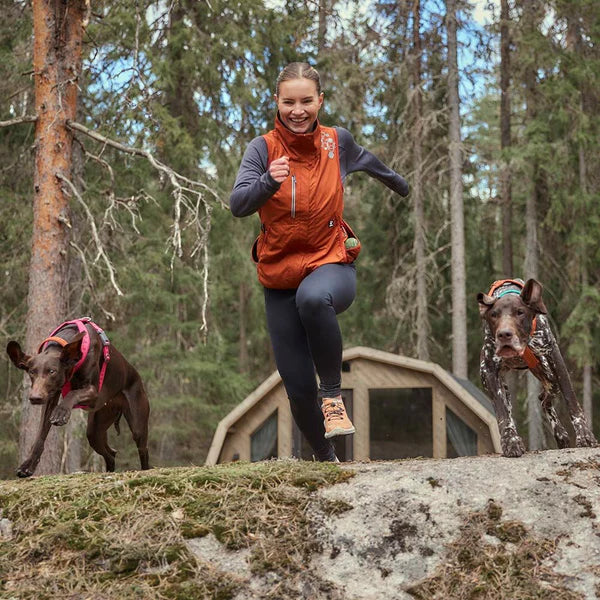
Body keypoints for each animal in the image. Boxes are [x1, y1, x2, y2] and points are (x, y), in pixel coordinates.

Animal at [6, 318, 149, 478]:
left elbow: (72, 394)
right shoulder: (51, 396)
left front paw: (61, 412)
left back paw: (145, 469)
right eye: (32, 372)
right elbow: (40, 435)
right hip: (95, 428)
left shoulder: (94, 392)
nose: (35, 398)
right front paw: (27, 465)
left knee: (143, 449)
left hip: (137, 423)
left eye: (52, 371)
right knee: (110, 453)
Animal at [478, 278, 596, 458]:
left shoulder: (555, 359)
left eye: (520, 312)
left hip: (551, 379)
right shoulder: (489, 371)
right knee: (521, 403)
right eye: (494, 315)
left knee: (544, 398)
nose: (504, 334)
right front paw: (510, 441)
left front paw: (584, 434)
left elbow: (572, 401)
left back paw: (560, 434)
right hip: (502, 385)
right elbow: (503, 413)